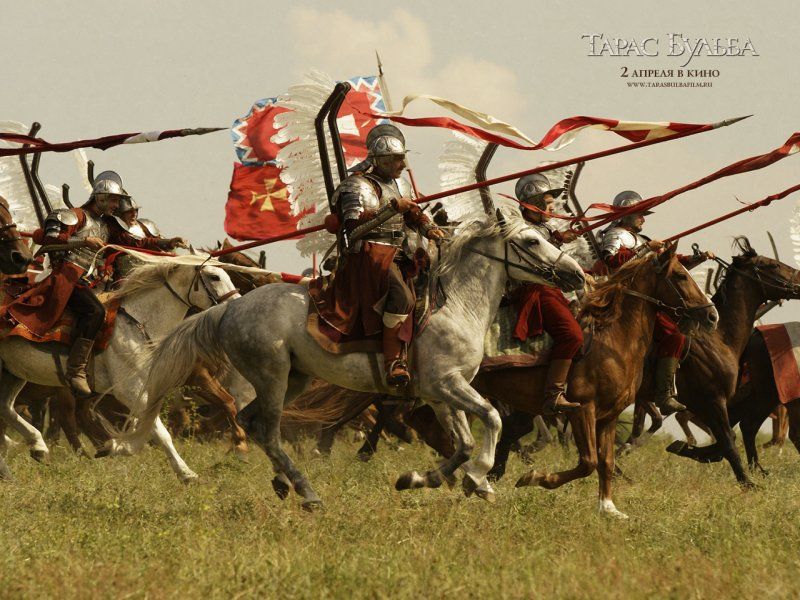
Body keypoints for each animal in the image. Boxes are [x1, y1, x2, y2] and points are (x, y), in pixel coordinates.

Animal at [0, 256, 239, 481]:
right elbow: (159, 432)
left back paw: (33, 449)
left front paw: (112, 446)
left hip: (13, 372)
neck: (138, 322)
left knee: (6, 408)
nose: (236, 307)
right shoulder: (130, 391)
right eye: (215, 277)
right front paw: (187, 474)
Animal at [108, 207, 587, 508]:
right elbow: (493, 419)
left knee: (249, 422)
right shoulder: (448, 385)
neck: (454, 305)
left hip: (295, 379)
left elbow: (464, 441)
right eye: (531, 240)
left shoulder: (439, 394)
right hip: (274, 377)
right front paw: (478, 476)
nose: (577, 275)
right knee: (267, 430)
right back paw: (306, 491)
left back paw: (284, 481)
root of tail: (229, 307)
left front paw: (425, 479)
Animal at [471, 244, 718, 518]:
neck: (613, 341)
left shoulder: (608, 416)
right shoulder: (583, 410)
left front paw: (608, 508)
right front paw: (535, 477)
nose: (712, 315)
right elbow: (588, 462)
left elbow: (606, 461)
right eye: (680, 276)